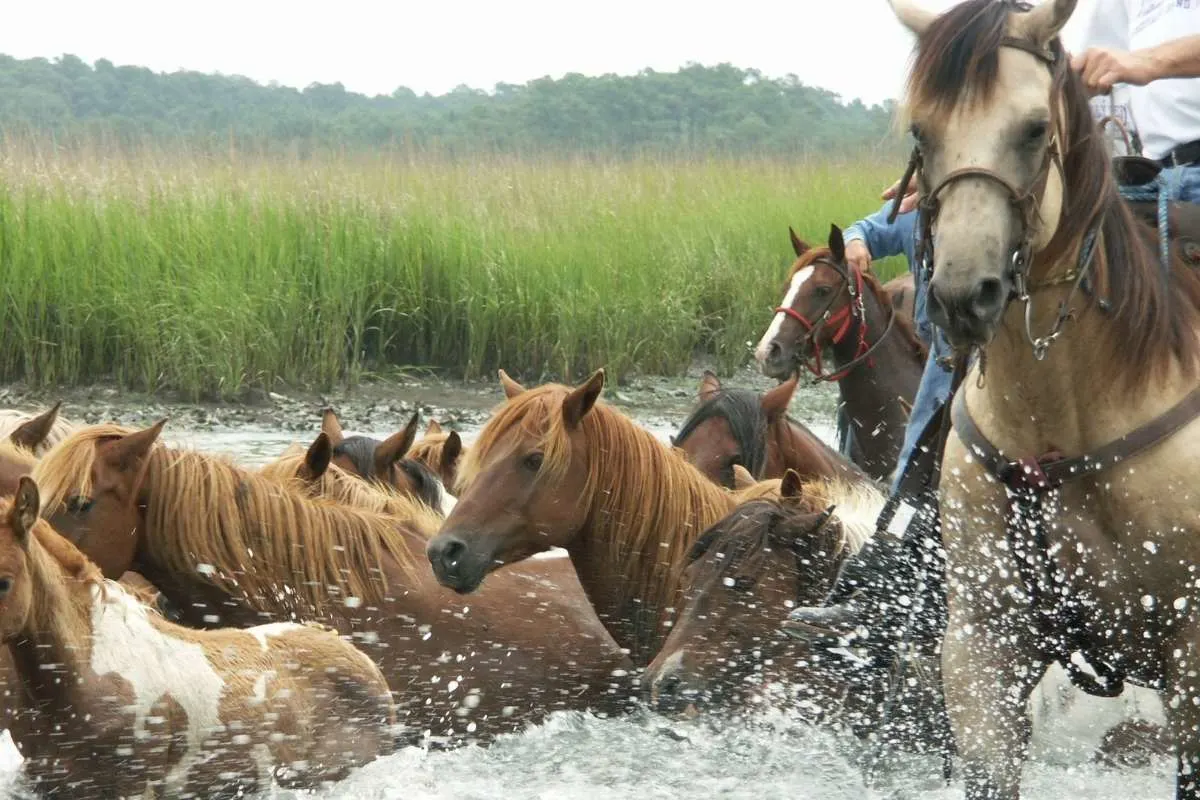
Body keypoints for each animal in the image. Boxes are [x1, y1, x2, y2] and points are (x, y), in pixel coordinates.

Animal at [892, 0, 1190, 796]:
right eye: (920, 132)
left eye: (1032, 129)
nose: (964, 294)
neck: (1061, 421)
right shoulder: (984, 642)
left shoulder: (1191, 645)